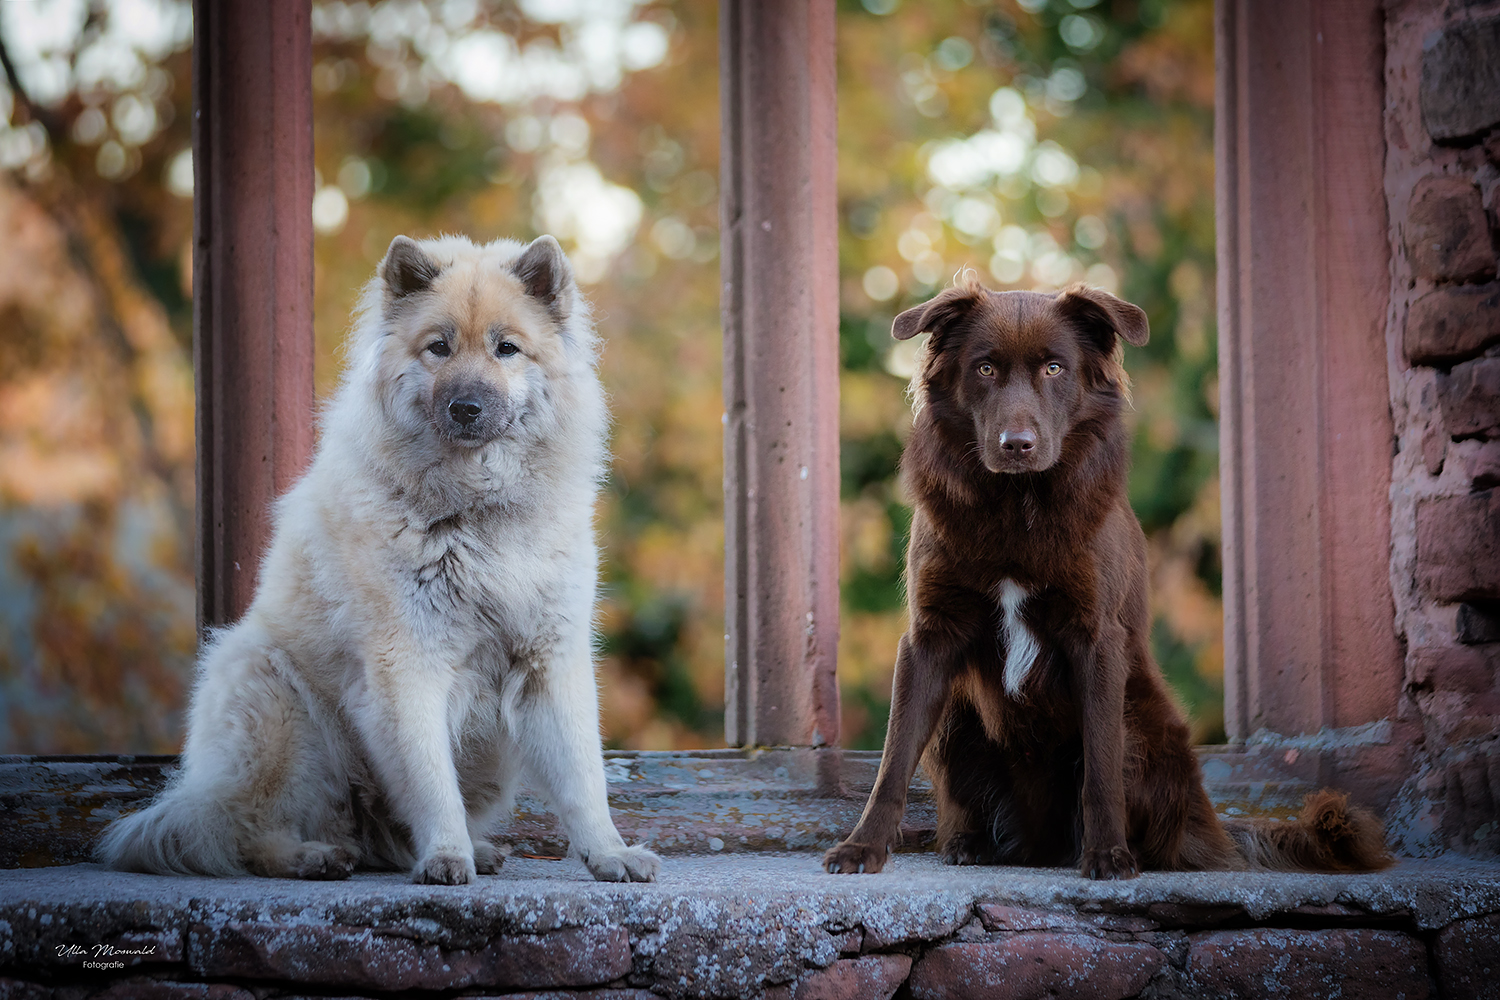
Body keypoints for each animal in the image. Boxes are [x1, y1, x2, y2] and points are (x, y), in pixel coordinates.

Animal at [95, 235, 657, 881]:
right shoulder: (406, 665)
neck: (476, 512)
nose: (466, 407)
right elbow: (432, 783)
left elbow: (583, 780)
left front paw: (608, 854)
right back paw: (313, 856)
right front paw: (446, 856)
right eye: (438, 347)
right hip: (278, 702)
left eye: (506, 348)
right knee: (243, 830)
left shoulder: (550, 665)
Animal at [828, 277, 1386, 881]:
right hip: (957, 716)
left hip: (1139, 722)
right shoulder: (930, 638)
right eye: (985, 368)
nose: (1016, 445)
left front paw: (1107, 856)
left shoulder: (1097, 640)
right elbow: (893, 760)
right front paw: (863, 846)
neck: (1016, 505)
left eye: (1055, 368)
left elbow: (1100, 767)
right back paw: (969, 843)